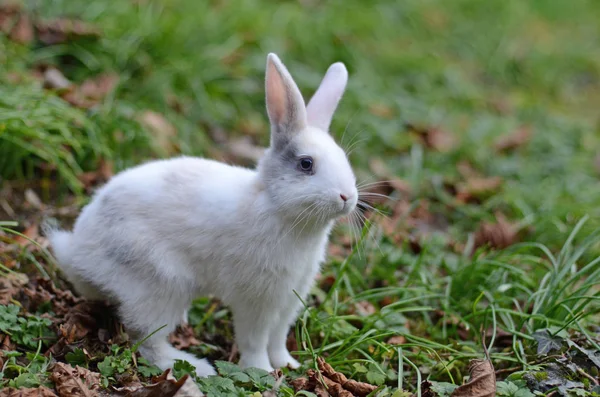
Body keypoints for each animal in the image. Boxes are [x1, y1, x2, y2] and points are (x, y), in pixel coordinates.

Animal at [48, 53, 356, 378]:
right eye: (306, 164)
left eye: (344, 159)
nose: (347, 197)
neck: (275, 207)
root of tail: (78, 254)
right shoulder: (256, 300)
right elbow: (255, 340)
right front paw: (261, 372)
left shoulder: (289, 299)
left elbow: (277, 338)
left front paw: (288, 365)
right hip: (159, 288)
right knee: (146, 341)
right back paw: (197, 366)